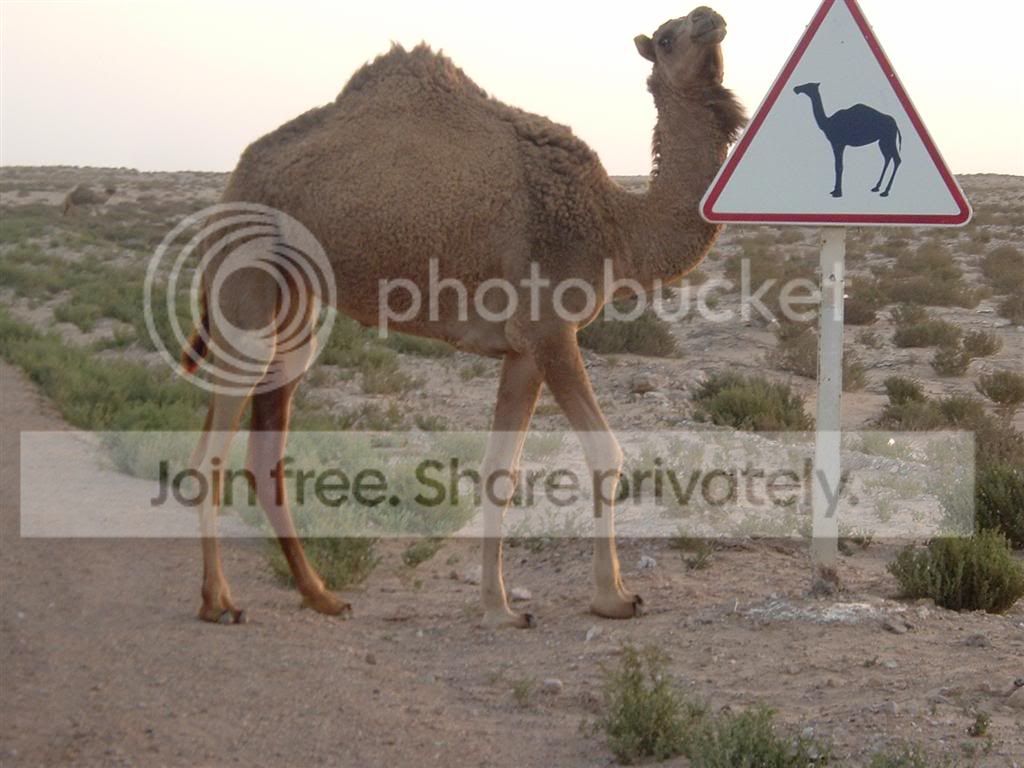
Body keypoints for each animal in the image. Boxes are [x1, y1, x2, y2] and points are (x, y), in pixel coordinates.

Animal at [185, 7, 745, 627]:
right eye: (668, 37)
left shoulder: (523, 350)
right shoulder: (551, 329)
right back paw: (218, 601)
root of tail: (233, 180)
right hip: (245, 293)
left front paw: (500, 607)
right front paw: (613, 597)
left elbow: (501, 470)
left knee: (266, 452)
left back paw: (321, 595)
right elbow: (606, 453)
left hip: (297, 311)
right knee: (209, 453)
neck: (614, 225)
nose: (711, 18)